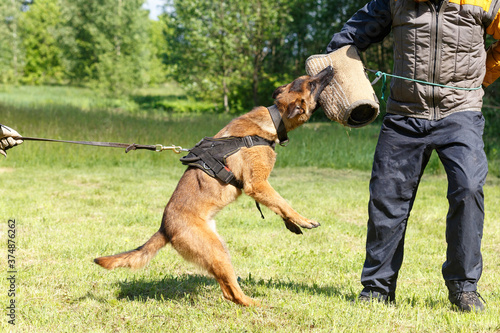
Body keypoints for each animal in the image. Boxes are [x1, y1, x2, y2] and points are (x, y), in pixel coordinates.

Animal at [95, 67, 334, 306]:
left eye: (307, 79)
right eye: (312, 84)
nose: (330, 69)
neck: (272, 120)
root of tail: (165, 228)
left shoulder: (259, 187)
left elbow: (277, 204)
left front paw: (292, 224)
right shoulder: (257, 184)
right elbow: (284, 203)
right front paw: (304, 220)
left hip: (217, 249)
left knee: (226, 289)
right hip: (216, 251)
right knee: (232, 292)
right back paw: (254, 303)